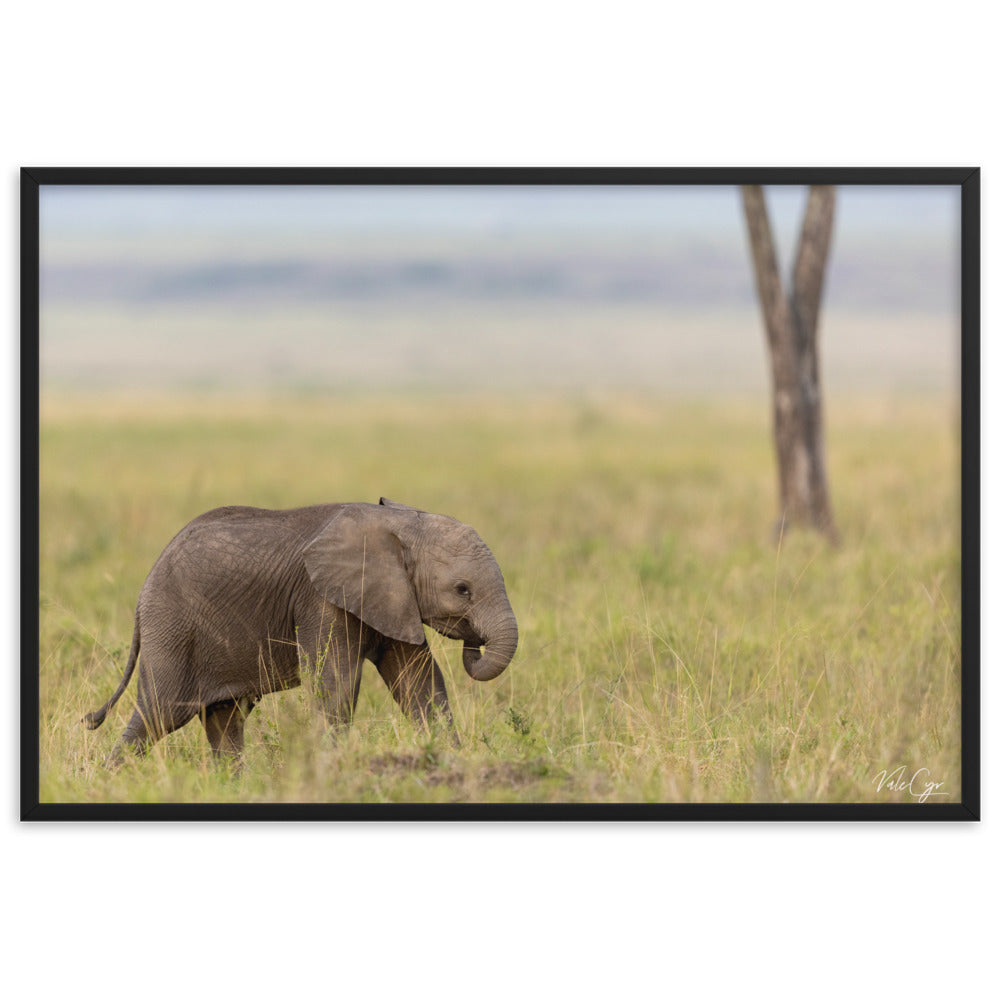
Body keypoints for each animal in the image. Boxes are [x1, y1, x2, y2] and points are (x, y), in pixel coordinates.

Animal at [83, 500, 520, 764]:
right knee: (159, 713)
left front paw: (452, 758)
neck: (399, 521)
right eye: (462, 590)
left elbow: (419, 683)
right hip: (172, 627)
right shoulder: (320, 599)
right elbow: (336, 684)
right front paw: (333, 766)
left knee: (225, 719)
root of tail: (144, 589)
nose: (475, 641)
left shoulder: (394, 597)